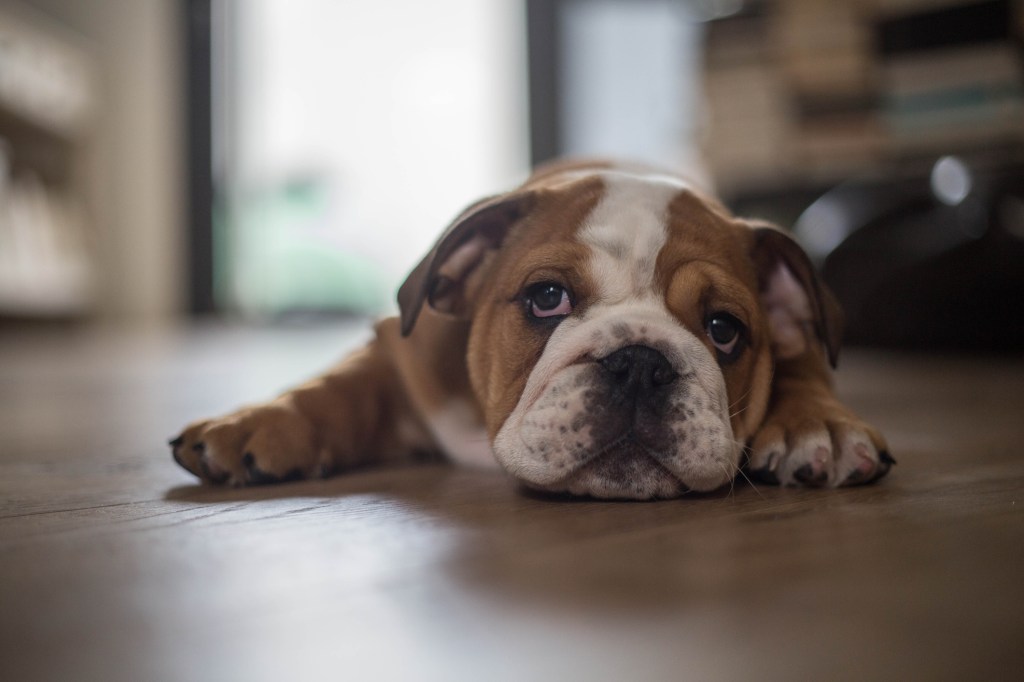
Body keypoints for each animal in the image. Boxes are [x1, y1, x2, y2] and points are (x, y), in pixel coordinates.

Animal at [167, 161, 888, 497]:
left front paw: (816, 424)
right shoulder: (401, 354)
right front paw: (254, 423)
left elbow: (803, 369)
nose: (640, 362)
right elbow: (336, 386)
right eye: (546, 298)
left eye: (724, 328)